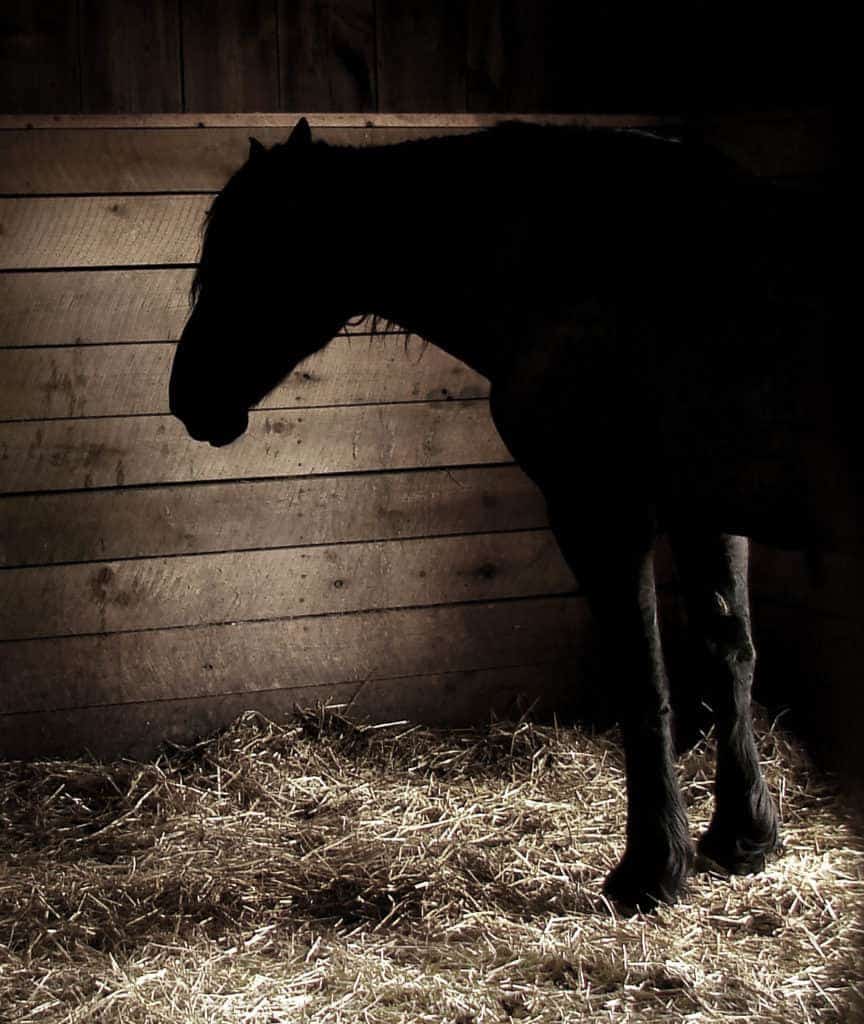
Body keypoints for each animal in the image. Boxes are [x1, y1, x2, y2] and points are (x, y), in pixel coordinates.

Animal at [170, 116, 846, 910]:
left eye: (253, 258)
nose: (187, 398)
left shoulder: (600, 508)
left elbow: (643, 678)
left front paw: (650, 868)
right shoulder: (704, 507)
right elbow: (728, 654)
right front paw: (743, 837)